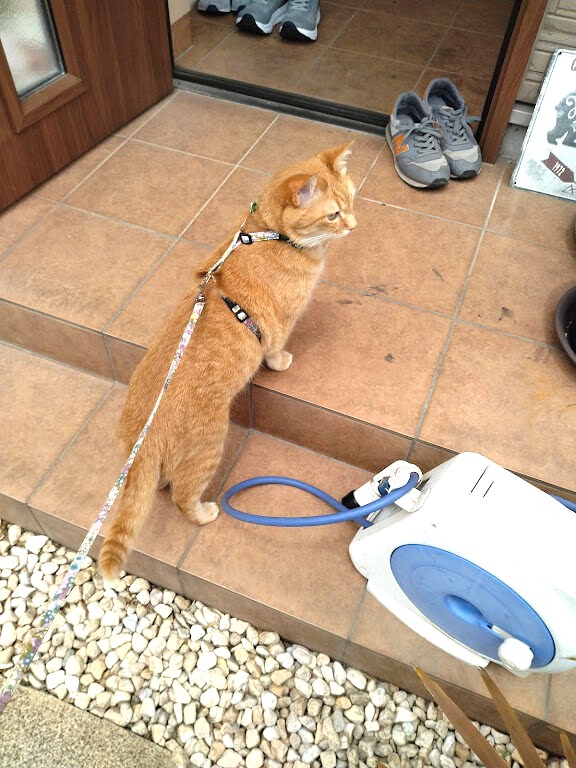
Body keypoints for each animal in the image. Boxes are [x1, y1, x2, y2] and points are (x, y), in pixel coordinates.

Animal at [98, 143, 357, 582]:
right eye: (332, 215)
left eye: (352, 201)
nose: (354, 226)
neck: (270, 234)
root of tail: (143, 440)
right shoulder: (280, 324)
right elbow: (275, 348)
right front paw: (282, 361)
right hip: (208, 449)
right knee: (183, 496)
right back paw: (203, 512)